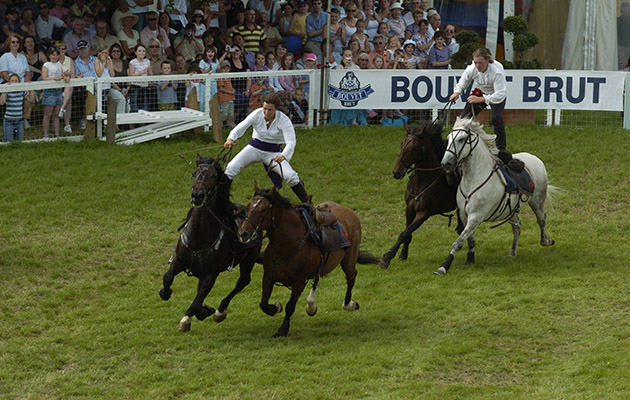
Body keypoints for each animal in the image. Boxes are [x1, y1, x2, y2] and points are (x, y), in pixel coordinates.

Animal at [162, 153, 266, 332]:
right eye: (194, 173)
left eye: (212, 176)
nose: (197, 195)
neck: (199, 237)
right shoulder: (179, 260)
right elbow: (168, 278)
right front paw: (165, 292)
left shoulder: (210, 274)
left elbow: (197, 302)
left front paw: (188, 319)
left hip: (249, 258)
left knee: (243, 281)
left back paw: (220, 311)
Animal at [238, 184, 380, 338]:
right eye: (248, 206)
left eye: (263, 209)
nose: (243, 233)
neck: (287, 244)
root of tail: (349, 211)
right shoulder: (268, 276)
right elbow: (263, 304)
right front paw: (276, 307)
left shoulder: (299, 282)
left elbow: (290, 306)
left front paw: (283, 329)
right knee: (318, 280)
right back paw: (311, 305)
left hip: (349, 259)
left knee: (351, 277)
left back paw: (348, 304)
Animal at [380, 119, 460, 268]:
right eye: (402, 144)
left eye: (413, 148)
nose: (396, 172)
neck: (422, 182)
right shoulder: (409, 209)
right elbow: (407, 233)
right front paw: (403, 255)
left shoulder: (423, 213)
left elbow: (404, 233)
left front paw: (387, 256)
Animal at [440, 116, 556, 276]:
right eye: (449, 138)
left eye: (461, 139)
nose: (446, 163)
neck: (474, 179)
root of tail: (535, 158)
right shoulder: (464, 215)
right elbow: (469, 239)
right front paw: (470, 259)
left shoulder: (476, 216)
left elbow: (458, 242)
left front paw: (444, 266)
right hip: (513, 209)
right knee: (517, 227)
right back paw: (512, 252)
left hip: (537, 201)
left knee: (541, 219)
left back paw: (545, 241)